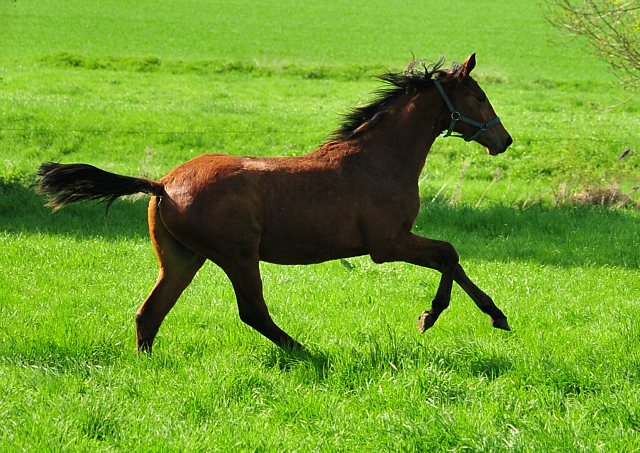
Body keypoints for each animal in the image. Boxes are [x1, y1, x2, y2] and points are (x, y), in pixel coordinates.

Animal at [35, 53, 516, 354]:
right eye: (479, 97)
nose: (504, 139)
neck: (379, 158)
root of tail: (162, 184)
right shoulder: (388, 244)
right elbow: (448, 253)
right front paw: (431, 316)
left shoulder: (396, 242)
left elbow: (452, 259)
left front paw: (496, 316)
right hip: (237, 255)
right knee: (252, 312)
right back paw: (307, 352)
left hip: (182, 258)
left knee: (150, 313)